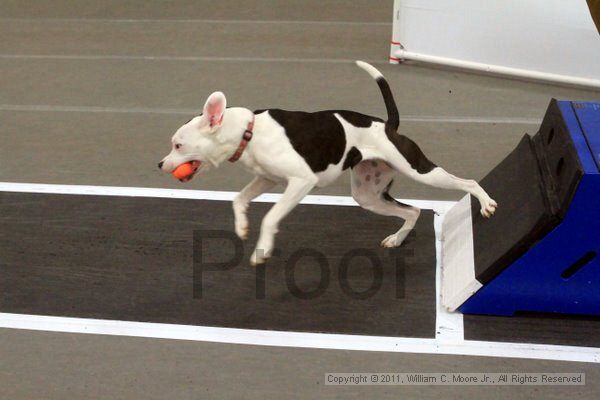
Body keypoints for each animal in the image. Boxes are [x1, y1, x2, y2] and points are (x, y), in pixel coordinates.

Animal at [158, 61, 496, 264]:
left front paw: (262, 249)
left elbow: (270, 217)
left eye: (178, 144)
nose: (160, 164)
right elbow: (238, 200)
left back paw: (486, 203)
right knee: (412, 211)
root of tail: (388, 125)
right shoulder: (266, 179)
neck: (248, 132)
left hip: (420, 170)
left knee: (465, 182)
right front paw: (241, 227)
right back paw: (397, 239)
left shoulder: (300, 182)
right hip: (367, 195)